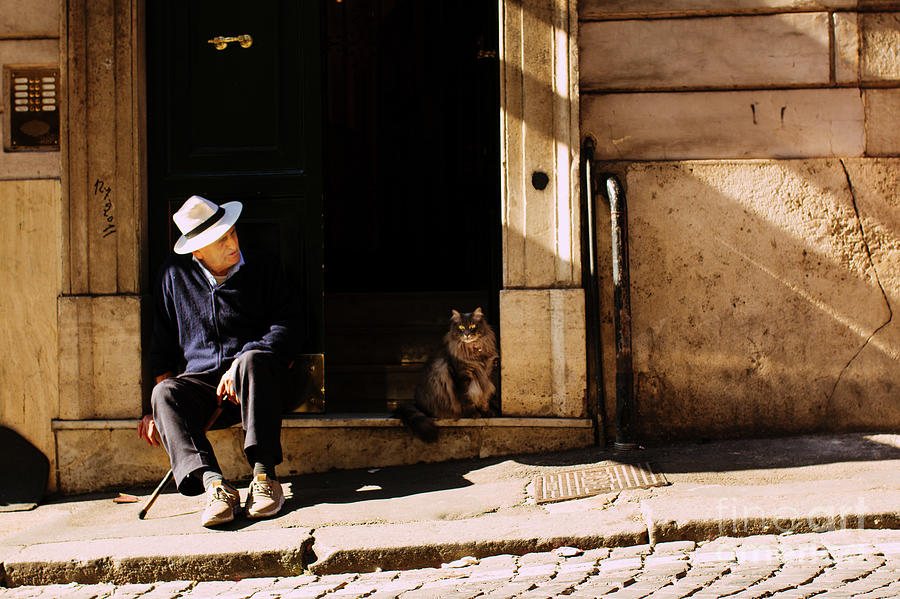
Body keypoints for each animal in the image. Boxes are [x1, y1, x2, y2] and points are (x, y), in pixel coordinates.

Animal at [396, 310, 500, 440]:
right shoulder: (461, 376)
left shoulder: (486, 375)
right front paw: (472, 414)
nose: (466, 334)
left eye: (472, 326)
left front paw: (486, 412)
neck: (474, 352)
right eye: (461, 327)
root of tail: (417, 402)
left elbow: (484, 397)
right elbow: (466, 398)